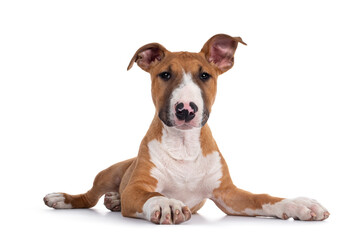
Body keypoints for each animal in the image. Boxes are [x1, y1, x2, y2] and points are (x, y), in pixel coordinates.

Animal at [44, 34, 330, 225]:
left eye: (205, 75)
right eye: (165, 75)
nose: (185, 110)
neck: (184, 144)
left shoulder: (228, 194)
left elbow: (262, 198)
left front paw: (299, 204)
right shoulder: (137, 188)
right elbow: (150, 194)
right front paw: (166, 202)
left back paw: (114, 200)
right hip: (109, 173)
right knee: (88, 197)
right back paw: (64, 199)